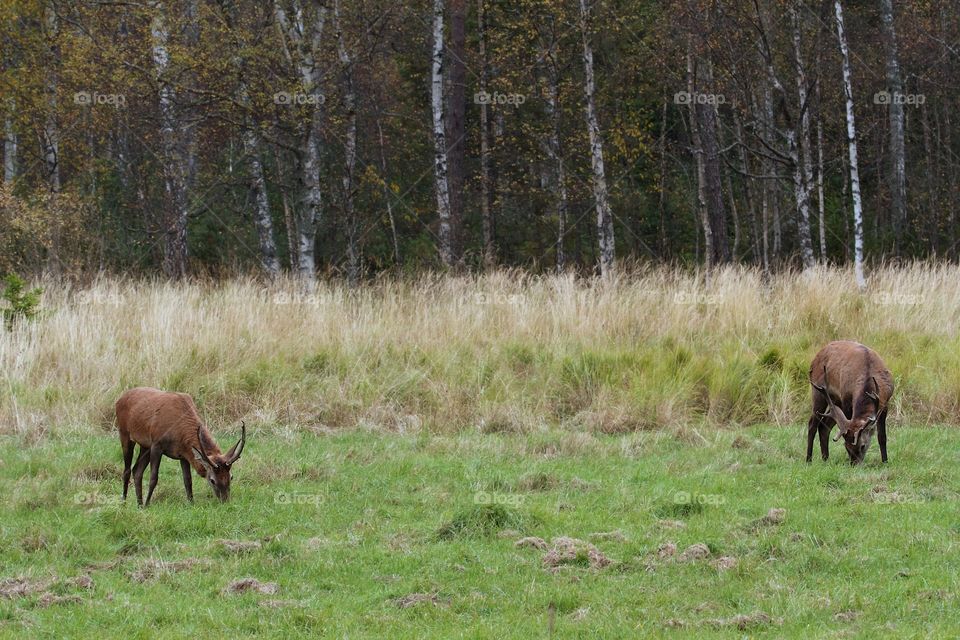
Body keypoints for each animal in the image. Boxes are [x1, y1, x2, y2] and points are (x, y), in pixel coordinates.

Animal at [115, 388, 246, 508]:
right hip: (124, 433)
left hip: (145, 445)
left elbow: (188, 480)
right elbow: (153, 478)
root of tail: (119, 399)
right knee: (127, 470)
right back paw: (124, 502)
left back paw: (139, 504)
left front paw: (191, 503)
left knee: (137, 470)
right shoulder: (157, 444)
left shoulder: (184, 454)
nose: (225, 501)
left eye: (231, 477)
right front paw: (148, 504)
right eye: (212, 480)